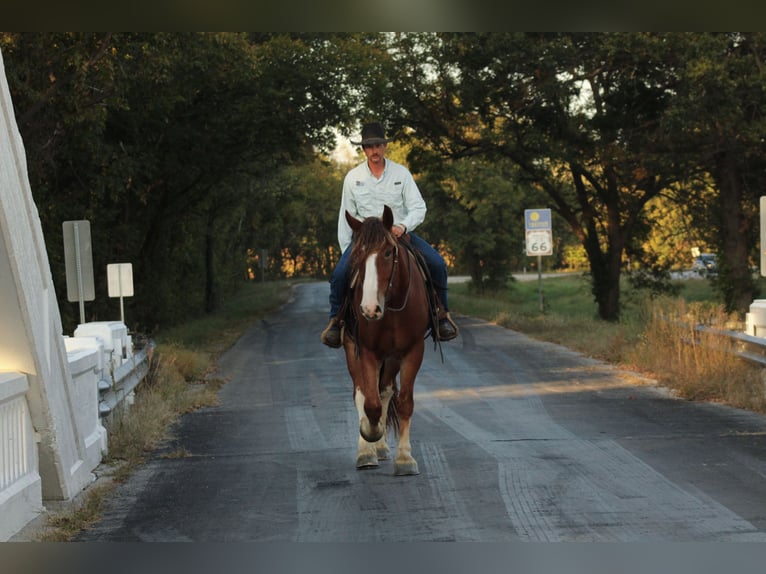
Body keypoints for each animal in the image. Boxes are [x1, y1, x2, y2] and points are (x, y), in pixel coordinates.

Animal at [342, 205, 430, 476]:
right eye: (356, 254)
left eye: (388, 252)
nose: (370, 309)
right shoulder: (367, 351)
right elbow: (369, 403)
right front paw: (370, 435)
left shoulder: (413, 350)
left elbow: (404, 403)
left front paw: (404, 459)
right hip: (353, 348)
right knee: (362, 393)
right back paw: (367, 451)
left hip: (391, 359)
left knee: (385, 391)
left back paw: (380, 448)